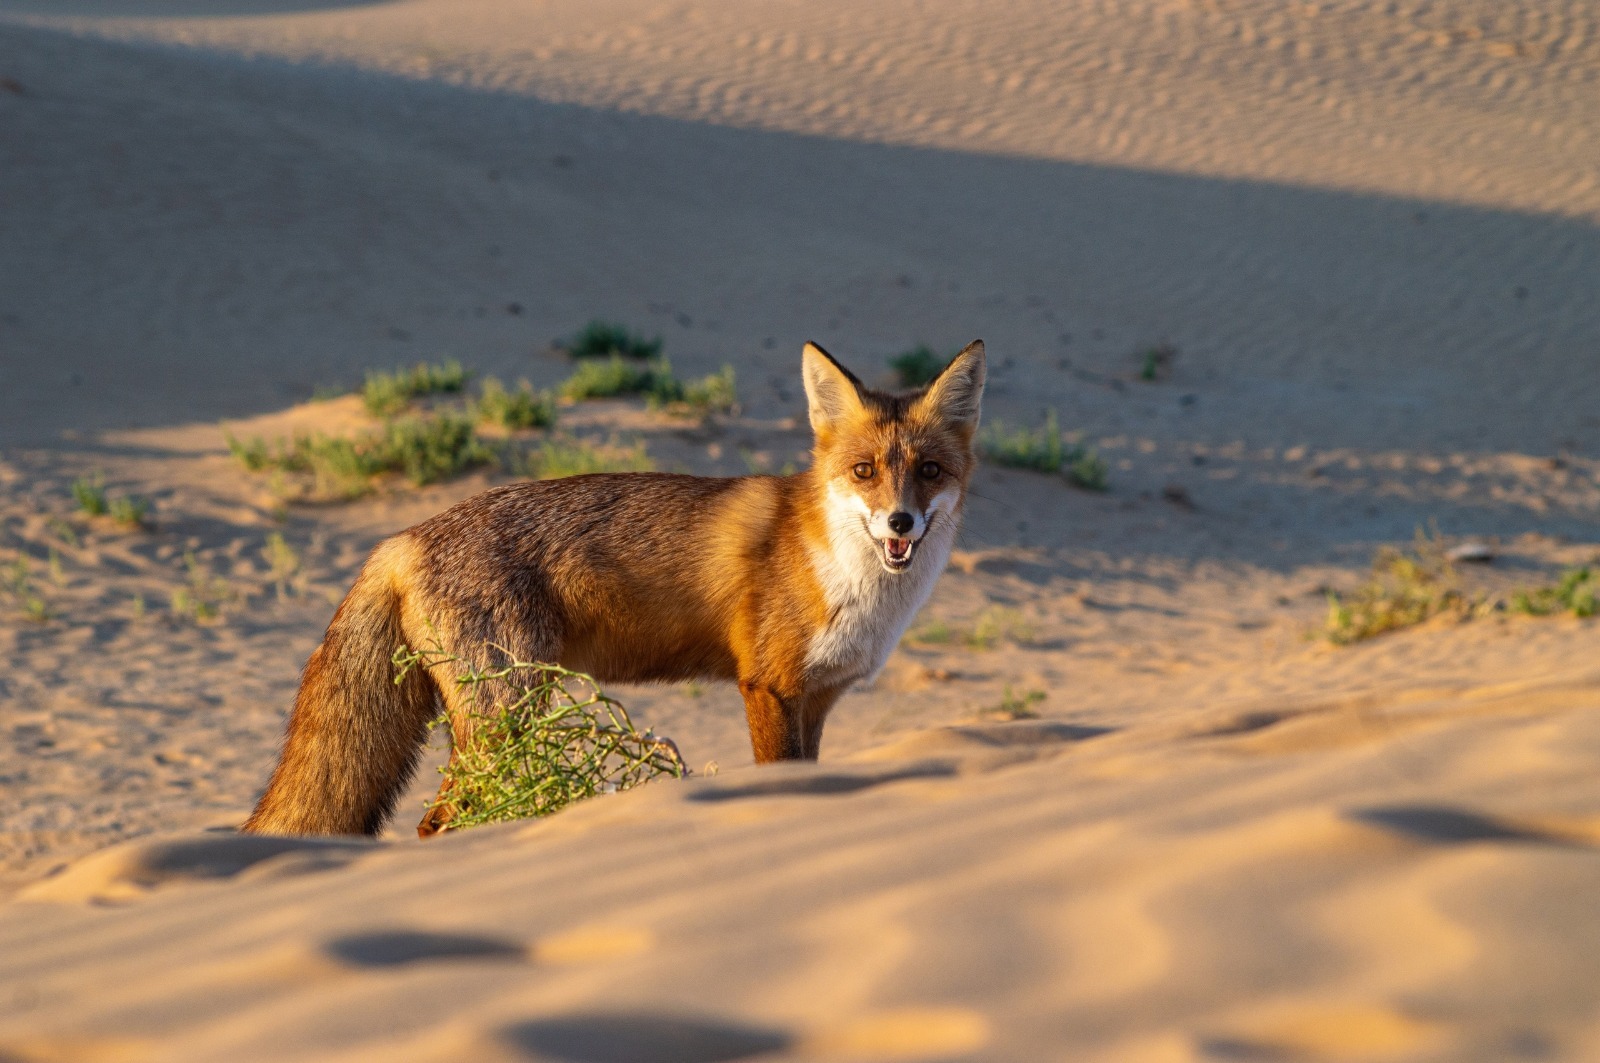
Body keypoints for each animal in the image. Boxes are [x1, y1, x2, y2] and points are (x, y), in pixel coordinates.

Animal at [241, 340, 979, 838]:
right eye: (864, 471)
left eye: (930, 471)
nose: (900, 522)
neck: (850, 579)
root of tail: (401, 537)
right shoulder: (768, 688)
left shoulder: (817, 699)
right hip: (508, 712)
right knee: (437, 820)